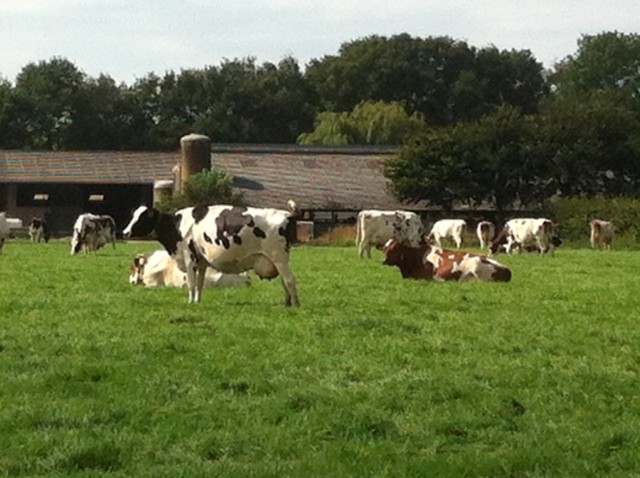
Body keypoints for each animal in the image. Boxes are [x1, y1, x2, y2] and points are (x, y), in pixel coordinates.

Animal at [124, 201, 302, 306]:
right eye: (132, 215)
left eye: (142, 218)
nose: (125, 232)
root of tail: (287, 214)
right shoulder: (202, 261)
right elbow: (200, 283)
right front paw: (197, 301)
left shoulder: (189, 258)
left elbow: (191, 283)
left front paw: (190, 302)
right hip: (279, 259)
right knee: (285, 281)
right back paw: (287, 303)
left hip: (279, 256)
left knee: (290, 280)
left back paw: (295, 305)